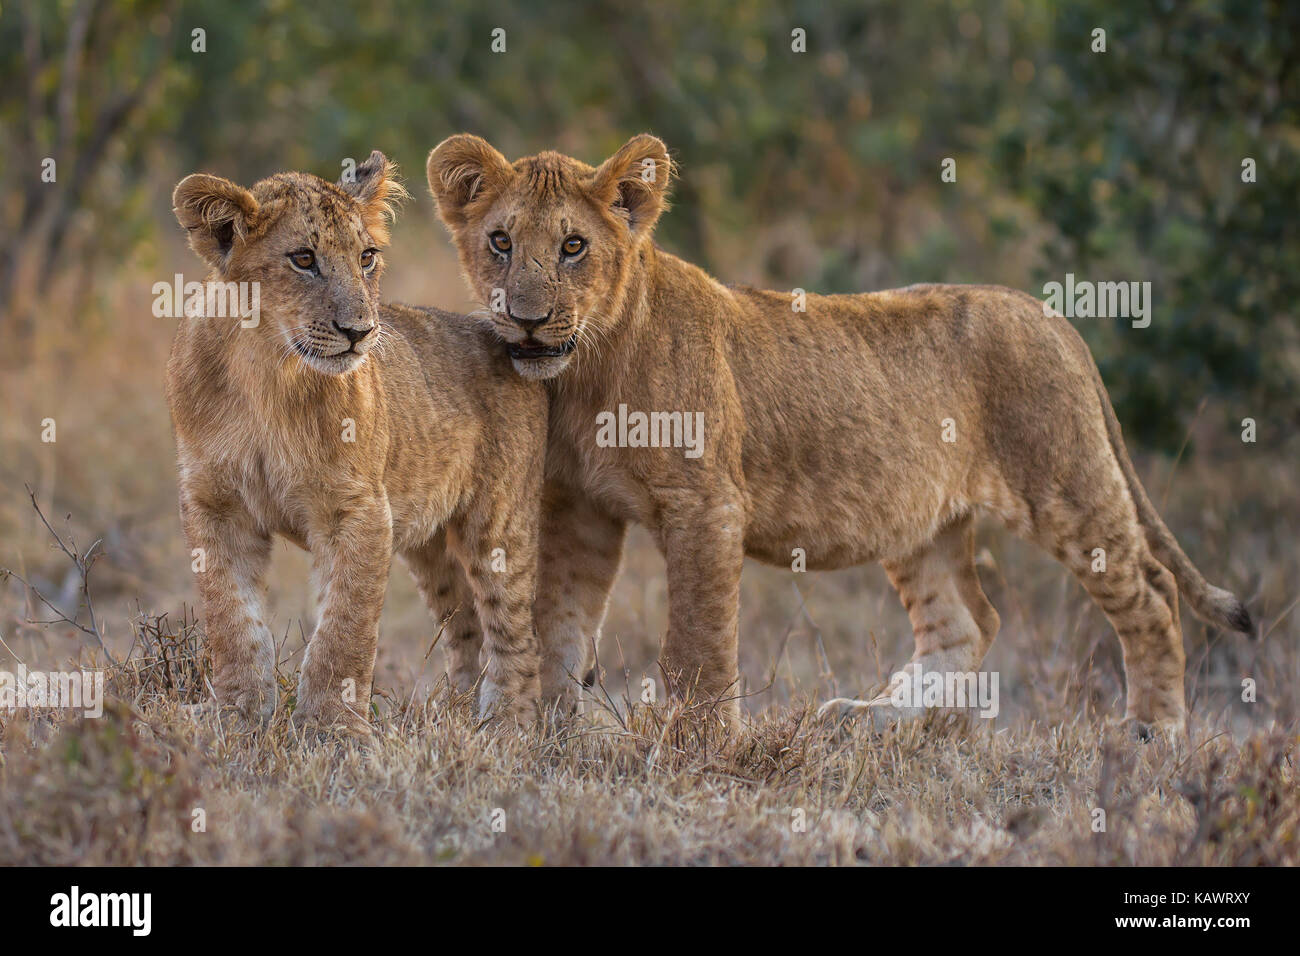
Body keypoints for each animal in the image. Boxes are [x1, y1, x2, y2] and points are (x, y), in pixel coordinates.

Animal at [166, 150, 548, 733]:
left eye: (367, 257)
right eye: (303, 259)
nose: (360, 332)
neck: (266, 371)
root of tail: (510, 345)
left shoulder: (359, 509)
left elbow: (344, 628)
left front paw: (332, 728)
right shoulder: (214, 504)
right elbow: (231, 620)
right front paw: (237, 715)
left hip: (499, 526)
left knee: (516, 637)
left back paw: (506, 728)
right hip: (428, 545)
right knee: (465, 628)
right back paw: (454, 715)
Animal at [425, 133, 1253, 737]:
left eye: (573, 247)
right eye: (500, 242)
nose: (528, 318)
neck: (587, 369)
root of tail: (1050, 315)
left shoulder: (705, 505)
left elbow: (695, 641)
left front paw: (699, 745)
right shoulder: (580, 506)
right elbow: (558, 621)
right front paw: (546, 737)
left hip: (1067, 485)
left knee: (1152, 596)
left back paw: (1153, 735)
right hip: (923, 521)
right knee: (967, 622)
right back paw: (867, 721)